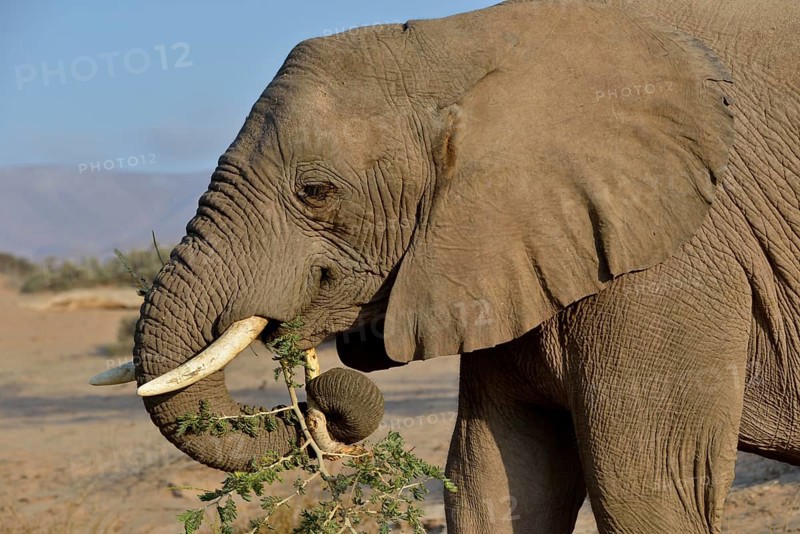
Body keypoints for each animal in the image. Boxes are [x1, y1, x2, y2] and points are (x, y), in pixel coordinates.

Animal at [91, 0, 800, 532]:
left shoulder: (674, 259)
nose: (318, 394)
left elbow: (647, 488)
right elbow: (498, 481)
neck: (468, 40)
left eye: (315, 192)